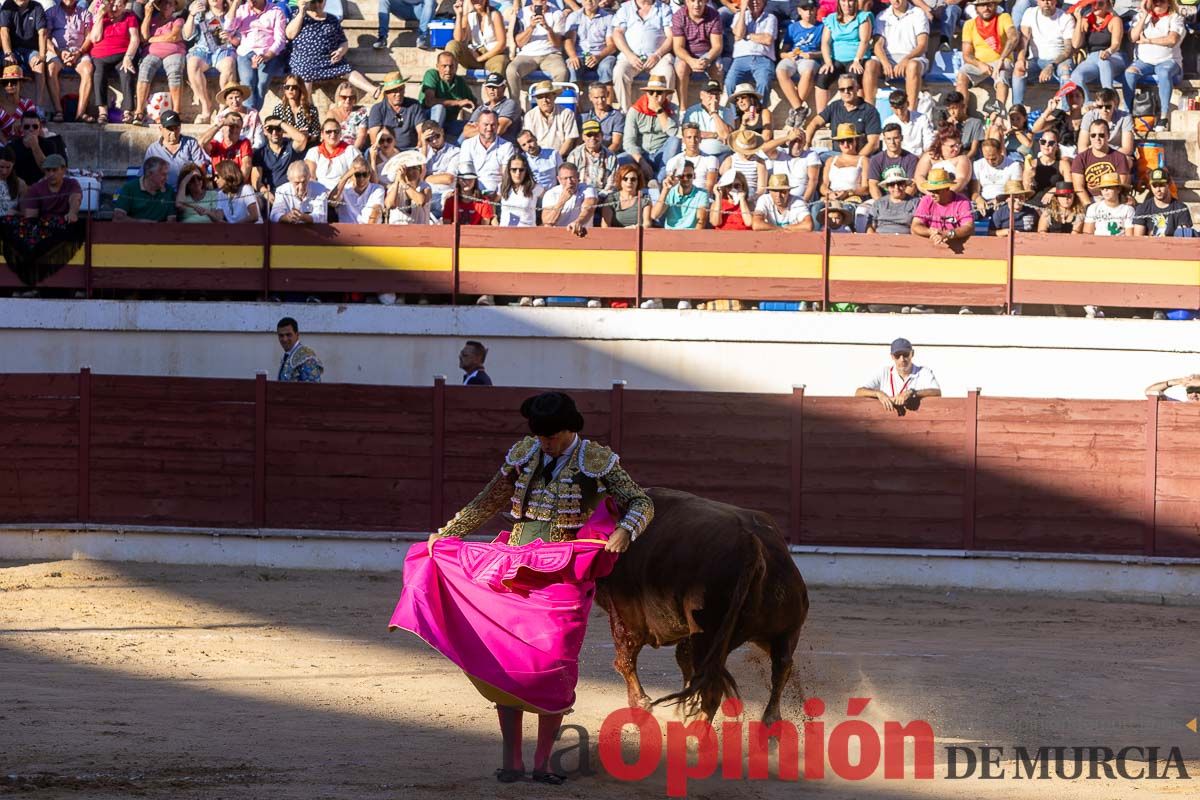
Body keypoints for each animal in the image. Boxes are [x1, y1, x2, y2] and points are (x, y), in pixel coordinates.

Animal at [595, 489, 811, 724]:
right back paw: (770, 720)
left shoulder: (626, 614)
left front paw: (642, 704)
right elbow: (682, 658)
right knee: (782, 666)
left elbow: (625, 659)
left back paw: (695, 727)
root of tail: (753, 545)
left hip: (709, 636)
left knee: (712, 689)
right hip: (784, 632)